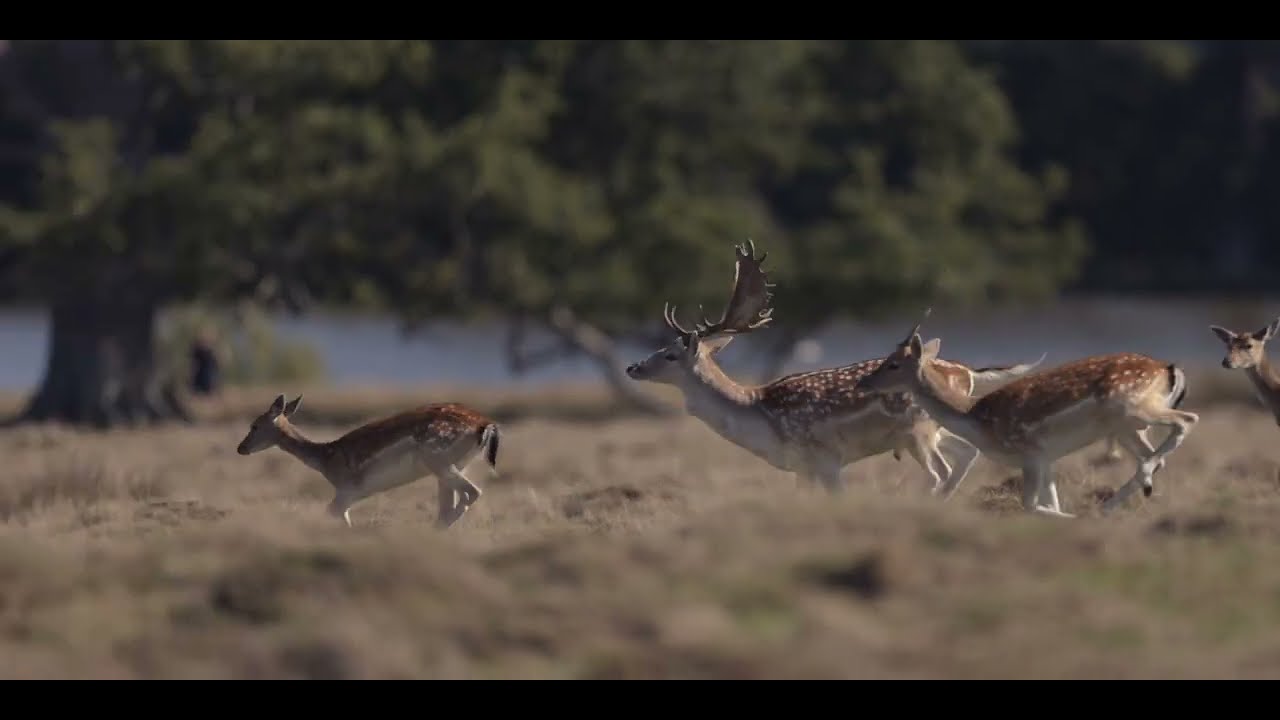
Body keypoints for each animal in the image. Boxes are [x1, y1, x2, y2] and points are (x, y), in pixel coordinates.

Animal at [236, 394, 501, 529]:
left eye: (254, 425)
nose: (241, 448)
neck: (326, 460)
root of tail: (486, 425)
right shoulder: (349, 494)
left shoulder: (349, 489)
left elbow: (335, 514)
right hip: (453, 464)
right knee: (453, 502)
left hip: (437, 459)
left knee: (473, 492)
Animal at [623, 240, 1047, 495]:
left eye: (670, 354)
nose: (633, 367)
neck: (759, 418)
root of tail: (966, 373)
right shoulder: (801, 467)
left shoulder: (825, 458)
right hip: (936, 428)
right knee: (966, 455)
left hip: (918, 430)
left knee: (941, 469)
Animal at [855, 311, 1198, 518]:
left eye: (893, 364)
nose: (863, 382)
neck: (977, 420)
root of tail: (1169, 370)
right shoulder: (1045, 458)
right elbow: (1048, 501)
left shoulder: (1030, 453)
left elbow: (1031, 506)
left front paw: (1073, 518)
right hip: (1129, 425)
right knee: (1154, 453)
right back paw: (1115, 502)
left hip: (1134, 408)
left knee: (1187, 421)